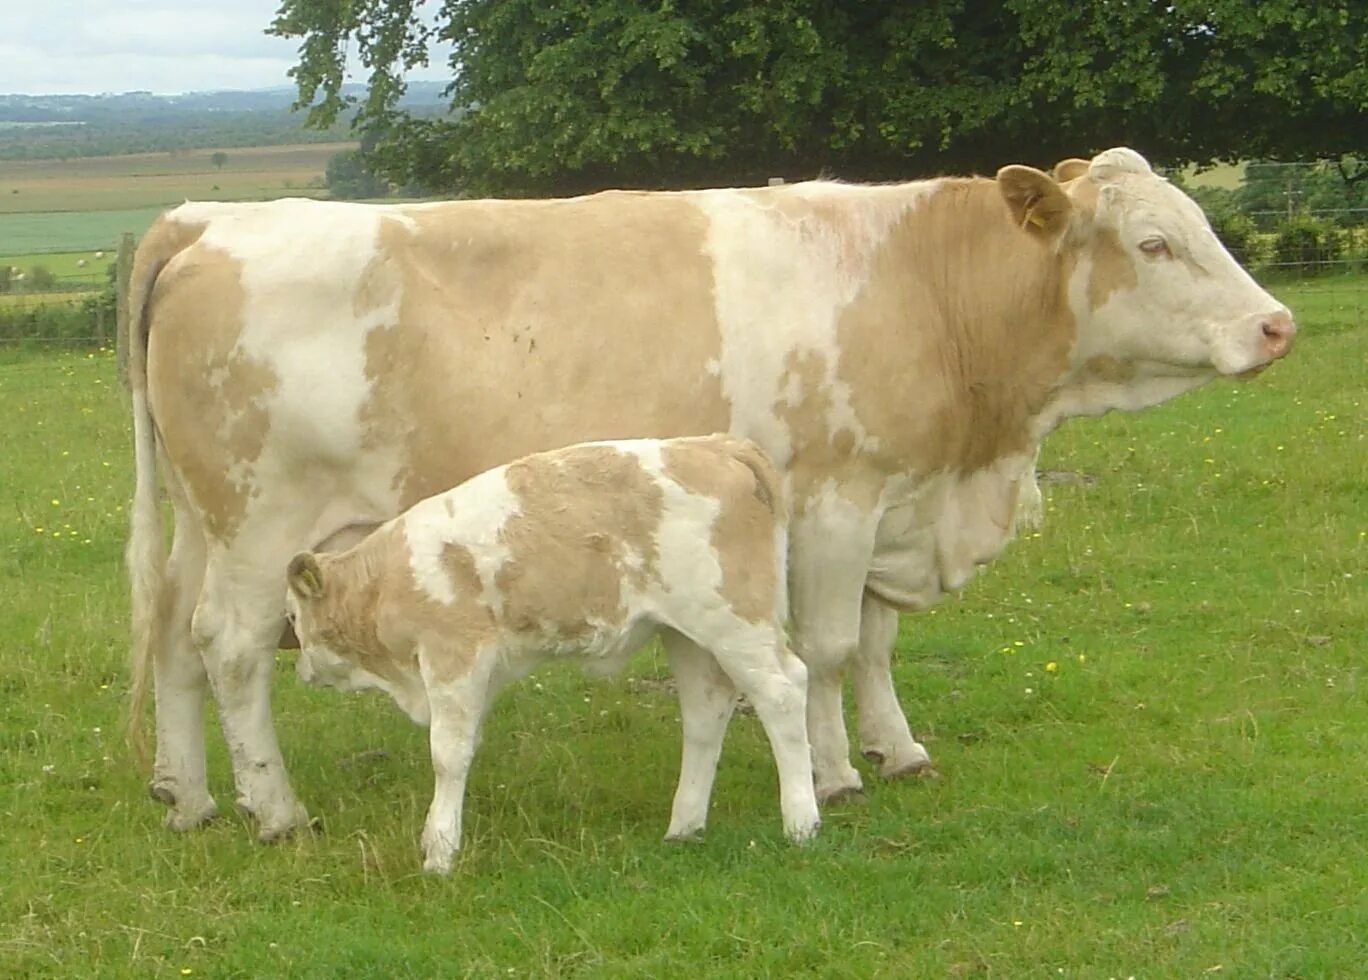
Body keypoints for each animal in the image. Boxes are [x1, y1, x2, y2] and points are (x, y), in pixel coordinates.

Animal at [283, 435, 815, 870]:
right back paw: (683, 828)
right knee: (706, 713)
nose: (302, 670)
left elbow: (447, 754)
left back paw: (801, 824)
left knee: (784, 694)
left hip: (736, 623)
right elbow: (467, 742)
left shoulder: (452, 655)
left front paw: (439, 851)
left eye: (292, 616)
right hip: (686, 632)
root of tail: (718, 445)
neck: (387, 580)